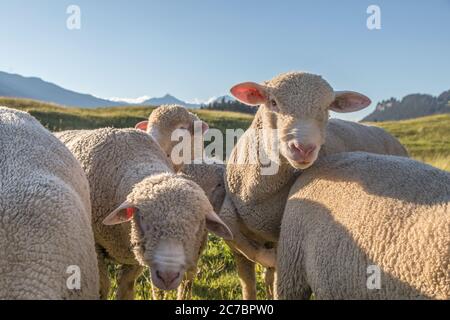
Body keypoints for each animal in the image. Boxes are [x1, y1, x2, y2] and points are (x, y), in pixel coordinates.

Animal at [55, 128, 232, 300]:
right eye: (143, 219)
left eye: (197, 226)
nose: (167, 276)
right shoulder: (95, 247)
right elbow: (102, 286)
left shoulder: (136, 256)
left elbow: (126, 286)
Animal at [221, 71, 408, 298]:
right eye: (273, 102)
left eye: (327, 108)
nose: (303, 148)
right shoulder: (238, 235)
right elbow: (248, 283)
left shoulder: (287, 240)